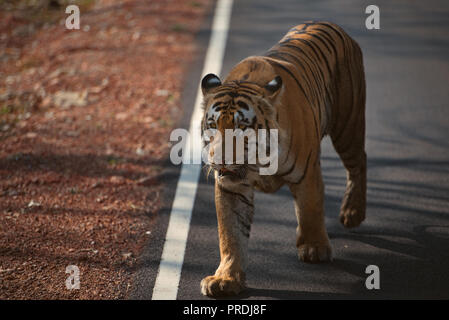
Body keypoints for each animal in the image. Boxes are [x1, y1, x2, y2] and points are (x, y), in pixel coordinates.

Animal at [199, 21, 364, 298]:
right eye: (212, 125)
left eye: (241, 127)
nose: (219, 159)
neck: (258, 161)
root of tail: (328, 23)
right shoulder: (232, 186)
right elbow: (230, 234)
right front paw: (226, 278)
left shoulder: (307, 171)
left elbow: (310, 207)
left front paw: (314, 248)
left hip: (348, 125)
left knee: (359, 163)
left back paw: (352, 212)